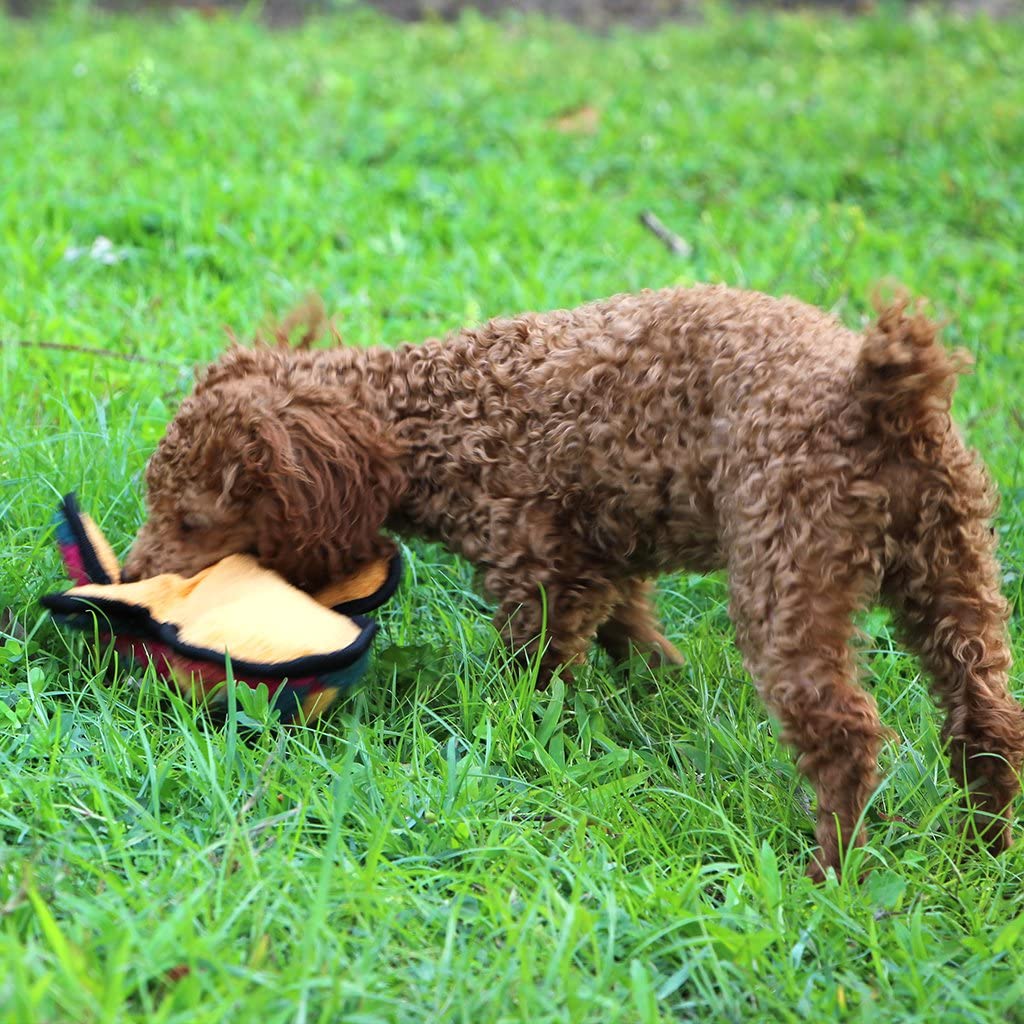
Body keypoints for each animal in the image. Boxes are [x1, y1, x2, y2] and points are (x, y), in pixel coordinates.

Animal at [123, 284, 1019, 876]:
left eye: (191, 521)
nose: (129, 574)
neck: (430, 415)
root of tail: (880, 395)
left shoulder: (539, 568)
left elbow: (541, 673)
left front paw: (522, 742)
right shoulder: (603, 551)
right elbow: (633, 623)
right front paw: (662, 679)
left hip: (789, 561)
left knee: (846, 734)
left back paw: (833, 870)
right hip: (952, 562)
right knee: (987, 718)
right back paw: (988, 850)